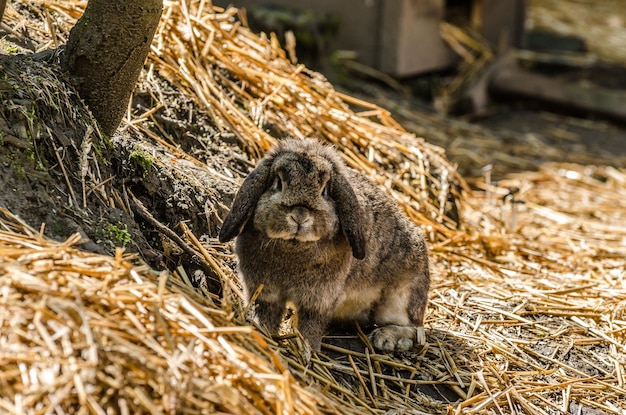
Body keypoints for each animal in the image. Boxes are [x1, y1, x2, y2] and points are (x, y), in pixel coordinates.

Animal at [219, 139, 428, 354]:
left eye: (325, 191)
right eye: (278, 183)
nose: (300, 216)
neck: (293, 246)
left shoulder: (318, 299)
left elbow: (310, 324)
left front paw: (308, 350)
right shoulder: (264, 291)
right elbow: (266, 314)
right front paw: (260, 331)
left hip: (400, 298)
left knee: (415, 330)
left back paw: (386, 339)